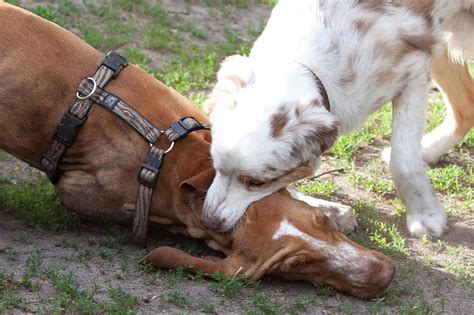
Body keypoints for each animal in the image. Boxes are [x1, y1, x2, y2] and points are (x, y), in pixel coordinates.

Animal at [201, 0, 474, 237]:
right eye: (214, 164)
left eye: (256, 182)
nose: (208, 221)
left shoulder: (414, 71)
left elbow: (403, 160)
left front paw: (426, 216)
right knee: (466, 107)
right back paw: (428, 149)